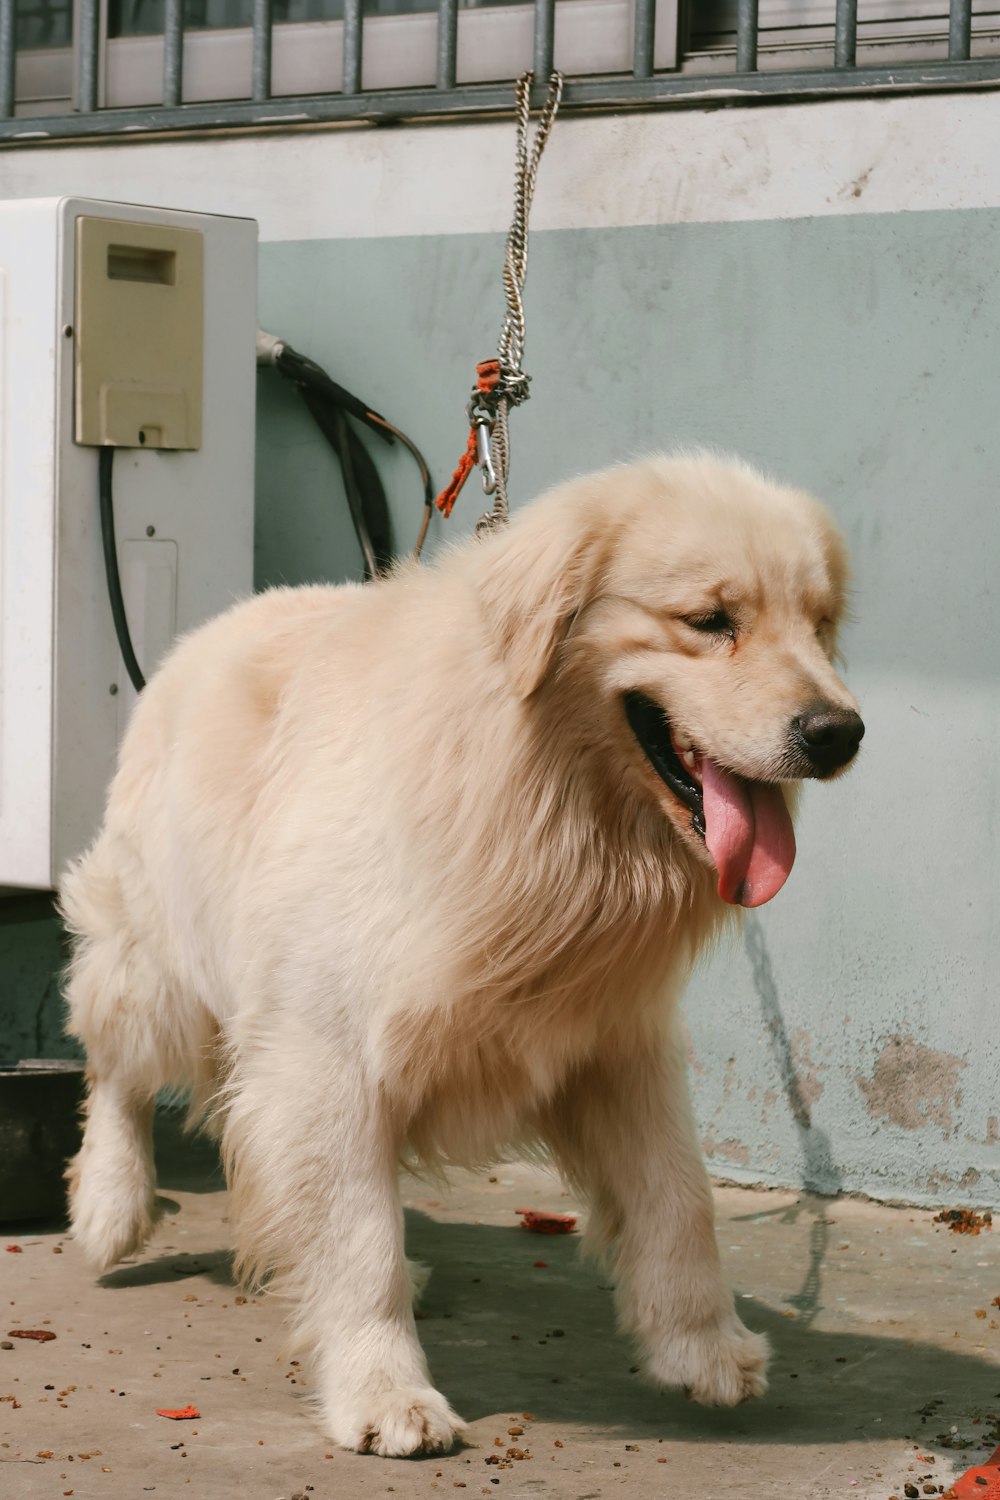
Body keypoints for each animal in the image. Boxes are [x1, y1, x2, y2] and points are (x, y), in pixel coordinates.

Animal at [60, 453, 863, 1452]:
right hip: (158, 962)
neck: (544, 803)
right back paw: (111, 1206)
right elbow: (360, 1238)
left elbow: (682, 1198)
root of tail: (203, 633)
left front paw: (702, 1346)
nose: (839, 733)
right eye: (710, 621)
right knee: (114, 1064)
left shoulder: (618, 1041)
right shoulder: (326, 1053)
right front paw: (383, 1393)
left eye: (821, 625)